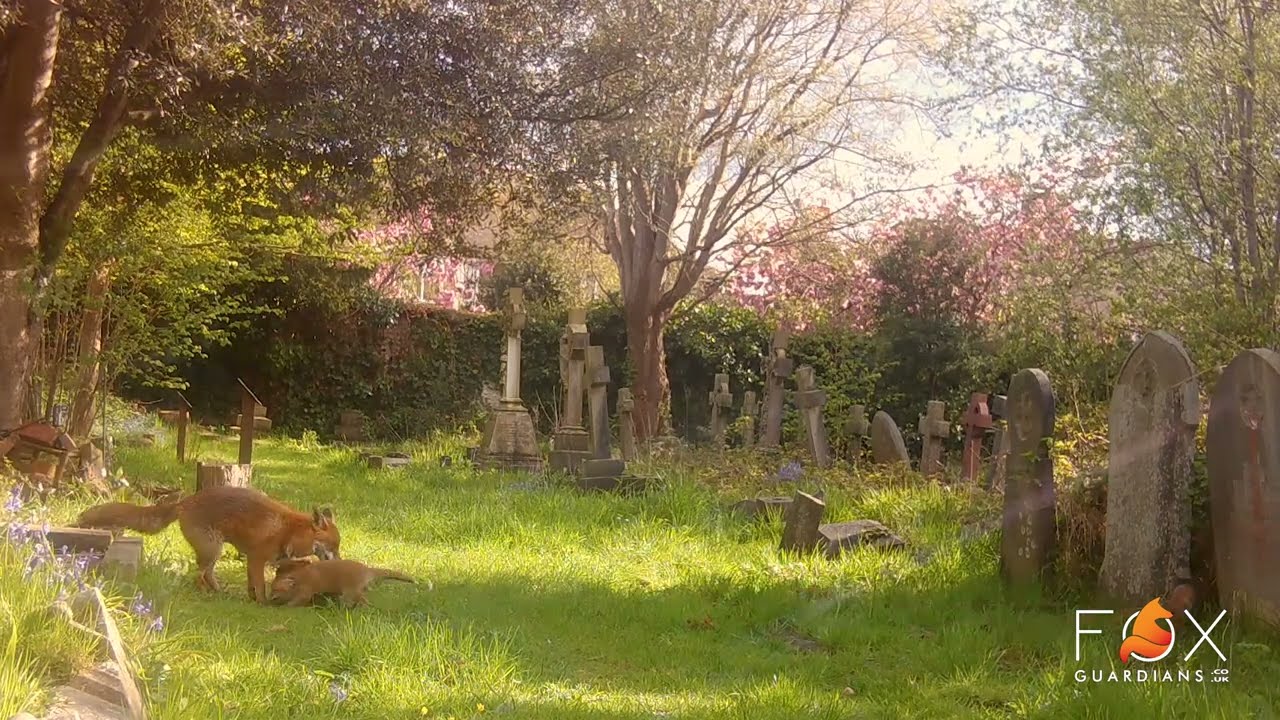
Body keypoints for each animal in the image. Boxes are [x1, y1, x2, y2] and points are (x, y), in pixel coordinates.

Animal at [73, 485, 340, 604]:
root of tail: (187, 500)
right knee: (197, 575)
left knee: (207, 574)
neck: (290, 531)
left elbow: (255, 585)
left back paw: (219, 592)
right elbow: (261, 588)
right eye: (334, 547)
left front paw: (251, 598)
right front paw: (262, 605)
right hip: (213, 550)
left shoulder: (259, 560)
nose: (340, 559)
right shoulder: (256, 558)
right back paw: (204, 594)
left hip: (214, 552)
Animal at [269, 557, 414, 608]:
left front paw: (284, 607)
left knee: (361, 600)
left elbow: (296, 601)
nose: (270, 598)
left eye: (275, 589)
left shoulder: (305, 591)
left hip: (350, 591)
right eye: (272, 588)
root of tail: (367, 569)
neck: (298, 578)